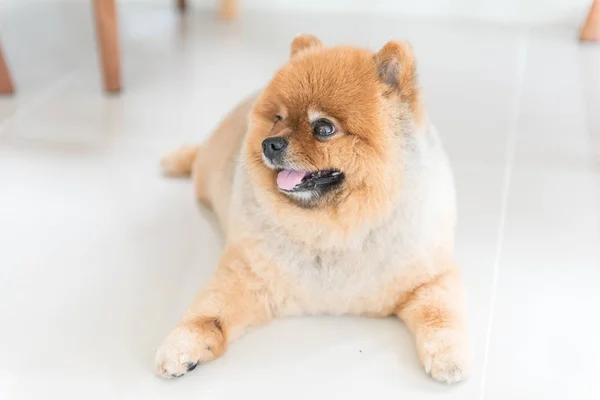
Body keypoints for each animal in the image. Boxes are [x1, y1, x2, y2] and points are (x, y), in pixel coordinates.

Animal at [157, 34, 472, 384]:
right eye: (278, 118)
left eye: (323, 128)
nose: (269, 144)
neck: (333, 230)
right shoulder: (245, 273)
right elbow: (207, 313)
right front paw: (180, 347)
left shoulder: (429, 276)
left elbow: (440, 315)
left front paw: (449, 357)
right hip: (206, 172)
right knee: (197, 157)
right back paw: (177, 160)